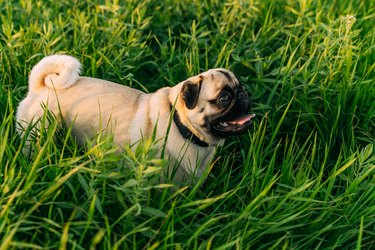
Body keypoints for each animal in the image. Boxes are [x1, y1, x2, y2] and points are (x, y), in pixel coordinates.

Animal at [15, 55, 256, 182]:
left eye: (241, 87)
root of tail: (40, 87)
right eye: (224, 98)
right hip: (37, 134)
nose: (243, 95)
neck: (181, 126)